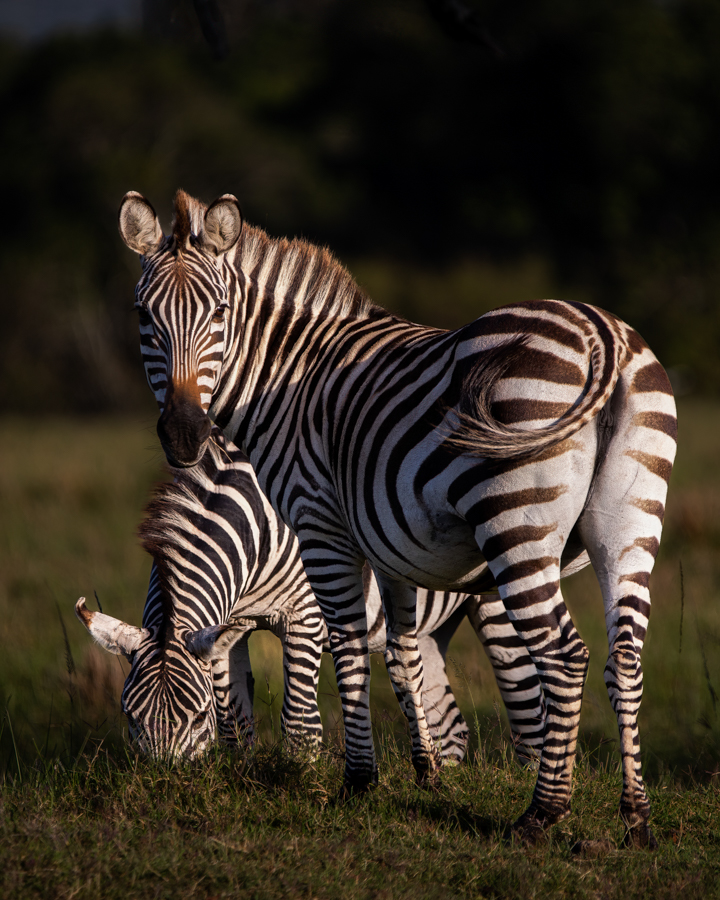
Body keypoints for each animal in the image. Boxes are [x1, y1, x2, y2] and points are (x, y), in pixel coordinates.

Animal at [76, 430, 544, 768]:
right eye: (130, 717)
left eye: (194, 716)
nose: (164, 786)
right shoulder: (229, 628)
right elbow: (235, 719)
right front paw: (237, 775)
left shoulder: (304, 617)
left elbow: (299, 724)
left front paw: (301, 786)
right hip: (432, 627)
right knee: (451, 724)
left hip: (496, 602)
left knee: (524, 695)